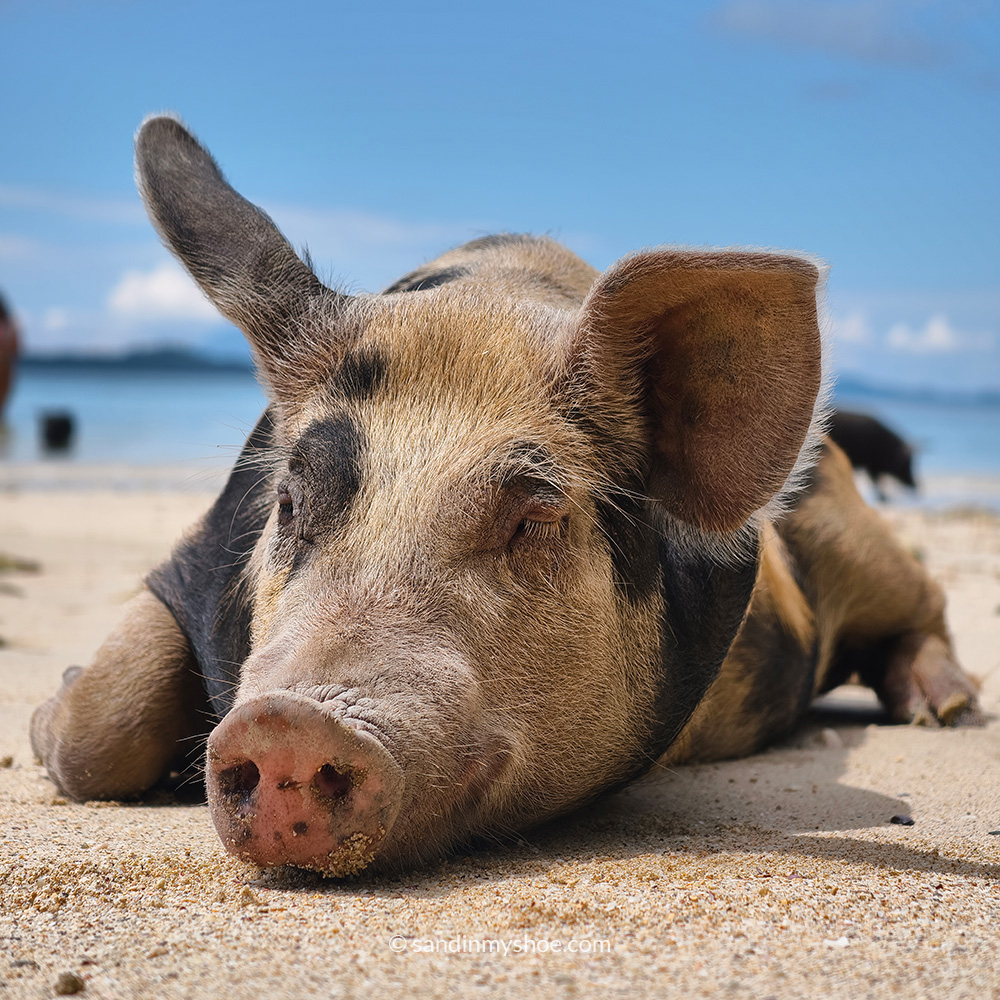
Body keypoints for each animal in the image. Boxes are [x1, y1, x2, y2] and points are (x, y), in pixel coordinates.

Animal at [30, 116, 981, 877]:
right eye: (290, 505)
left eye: (532, 519)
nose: (286, 723)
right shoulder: (190, 562)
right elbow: (99, 729)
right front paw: (48, 715)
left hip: (859, 533)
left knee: (925, 598)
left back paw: (947, 709)